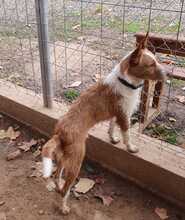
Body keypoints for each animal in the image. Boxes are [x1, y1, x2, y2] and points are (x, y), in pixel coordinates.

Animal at [41, 33, 167, 215]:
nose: (168, 74)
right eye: (151, 64)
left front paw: (113, 139)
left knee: (57, 176)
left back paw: (58, 187)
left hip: (64, 159)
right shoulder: (124, 116)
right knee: (65, 189)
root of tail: (59, 133)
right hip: (76, 161)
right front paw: (131, 148)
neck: (125, 81)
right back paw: (64, 207)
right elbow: (127, 134)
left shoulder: (116, 115)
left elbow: (112, 127)